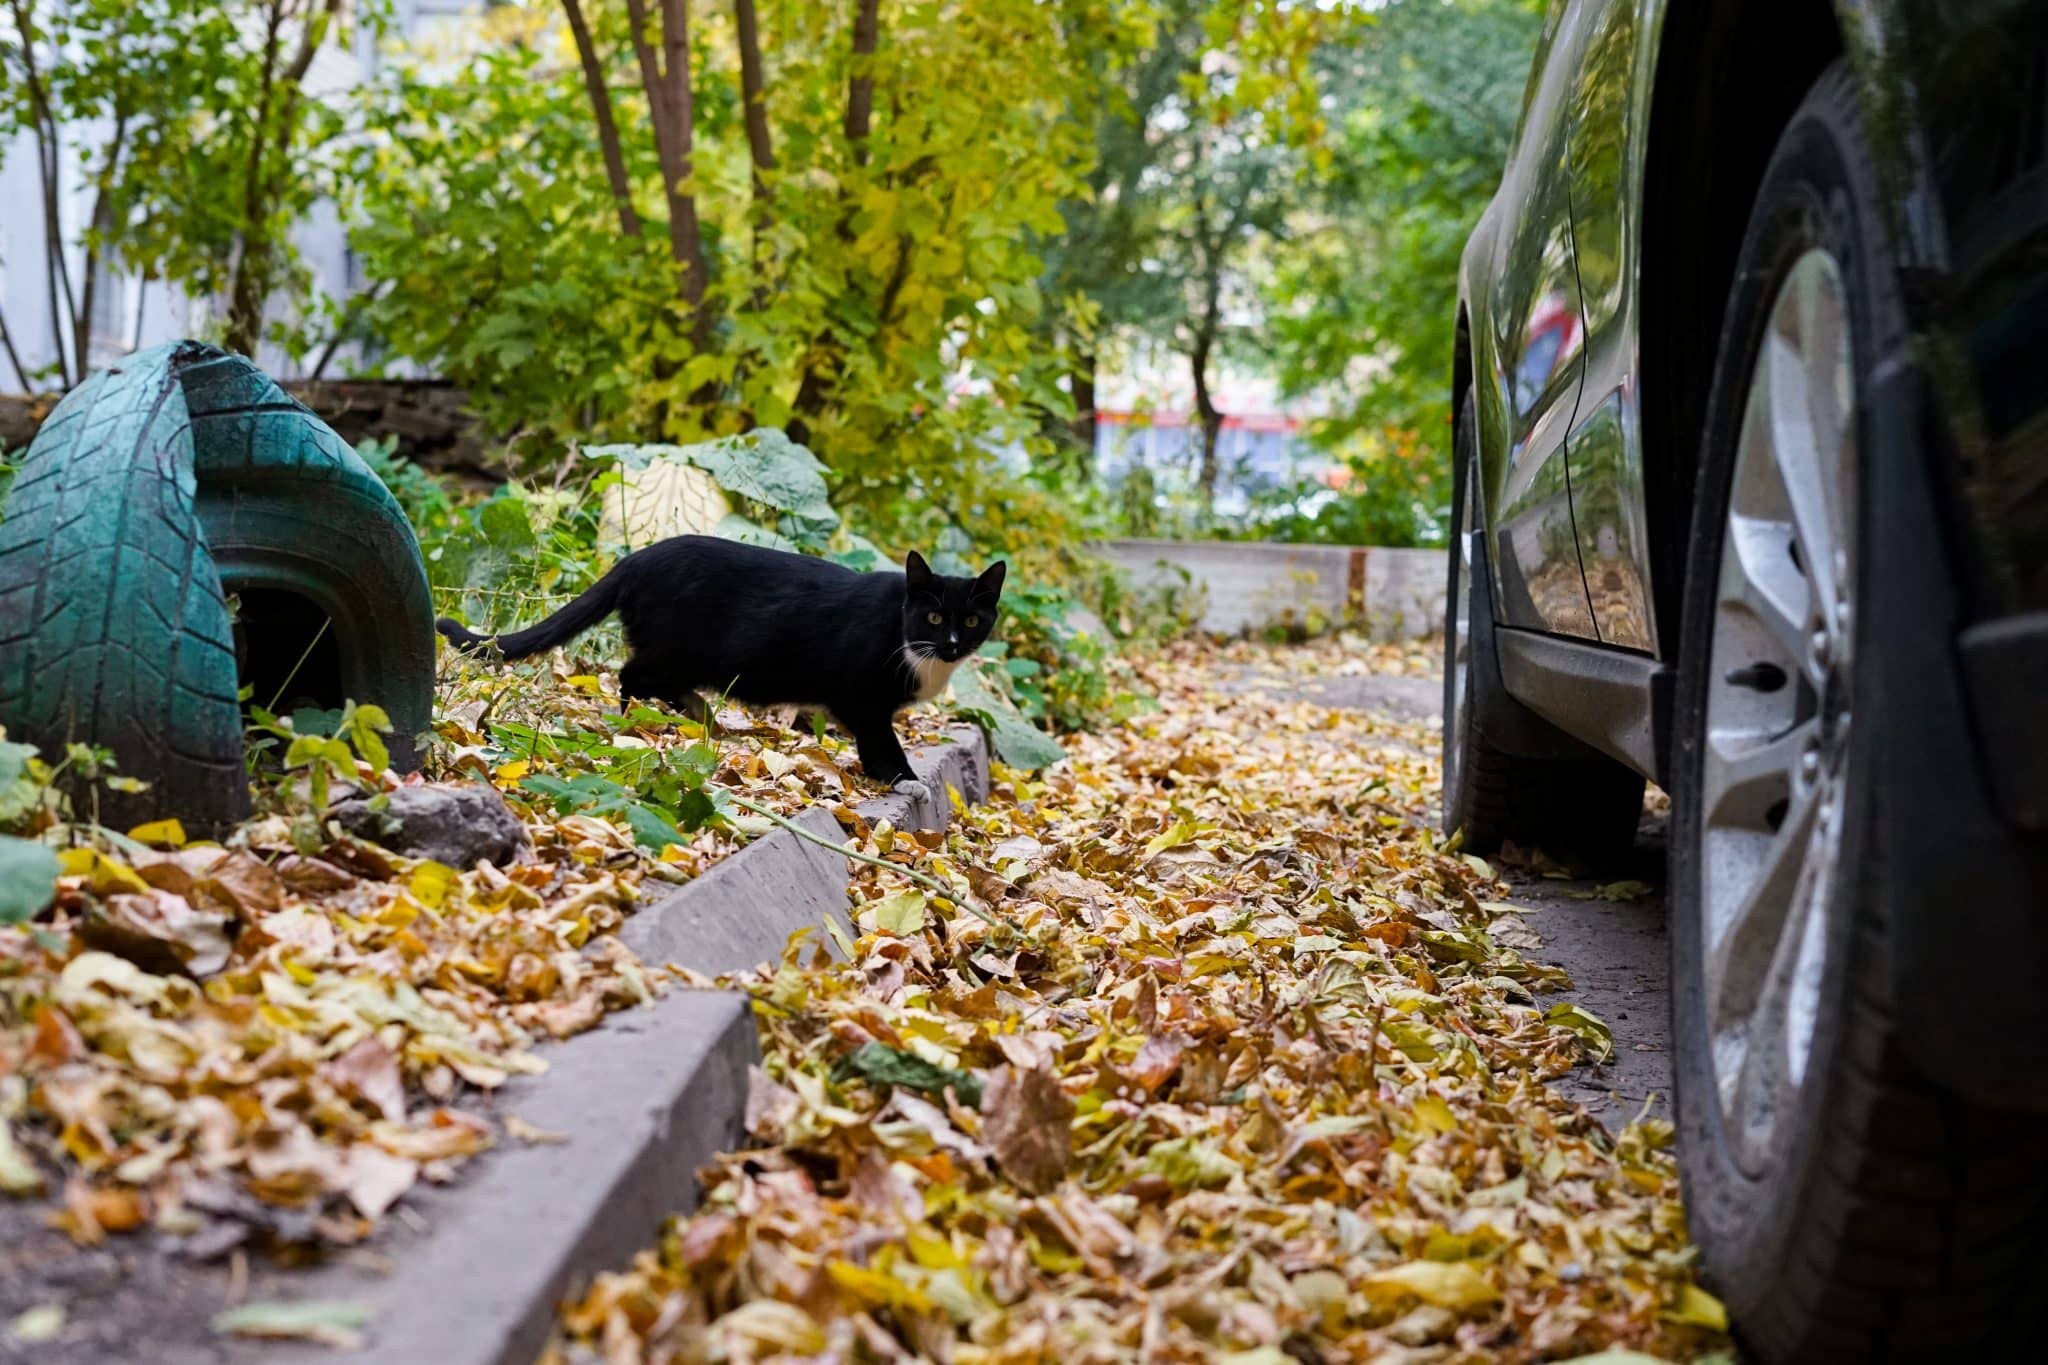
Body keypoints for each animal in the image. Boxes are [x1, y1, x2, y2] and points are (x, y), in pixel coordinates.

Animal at [436, 532, 1003, 789]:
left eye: (973, 620)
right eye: (933, 617)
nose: (953, 642)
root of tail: (637, 558)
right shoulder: (859, 696)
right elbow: (879, 737)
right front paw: (900, 777)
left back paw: (698, 714)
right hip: (681, 648)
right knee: (630, 674)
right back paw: (645, 719)